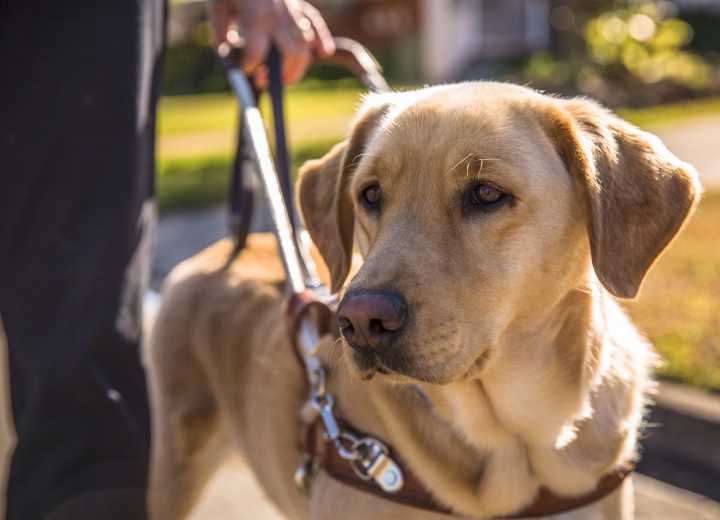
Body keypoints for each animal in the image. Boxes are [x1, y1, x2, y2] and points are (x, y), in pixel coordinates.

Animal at [148, 83, 704, 516]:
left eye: (486, 194)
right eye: (370, 195)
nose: (359, 320)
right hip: (174, 466)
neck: (514, 442)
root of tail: (229, 246)